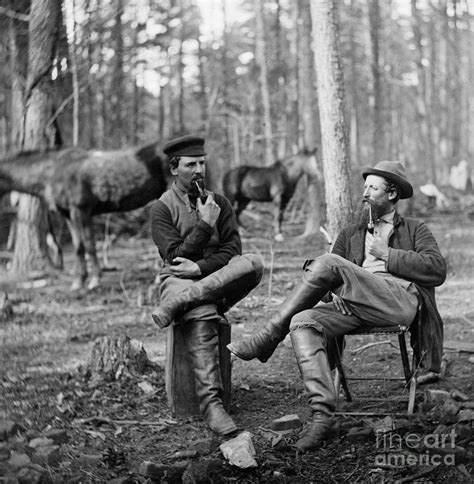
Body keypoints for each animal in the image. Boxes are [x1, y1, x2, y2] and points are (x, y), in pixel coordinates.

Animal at [0, 142, 170, 290]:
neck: (55, 171)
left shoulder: (80, 211)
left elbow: (89, 245)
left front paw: (94, 280)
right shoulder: (68, 215)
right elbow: (79, 247)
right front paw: (79, 281)